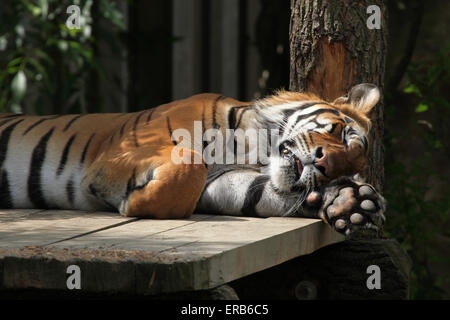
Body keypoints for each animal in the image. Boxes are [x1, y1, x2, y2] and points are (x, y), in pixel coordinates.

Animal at [0, 83, 386, 235]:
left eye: (347, 168)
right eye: (341, 133)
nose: (324, 166)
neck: (256, 149)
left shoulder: (224, 183)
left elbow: (258, 194)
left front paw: (349, 201)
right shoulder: (119, 151)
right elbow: (189, 162)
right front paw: (134, 202)